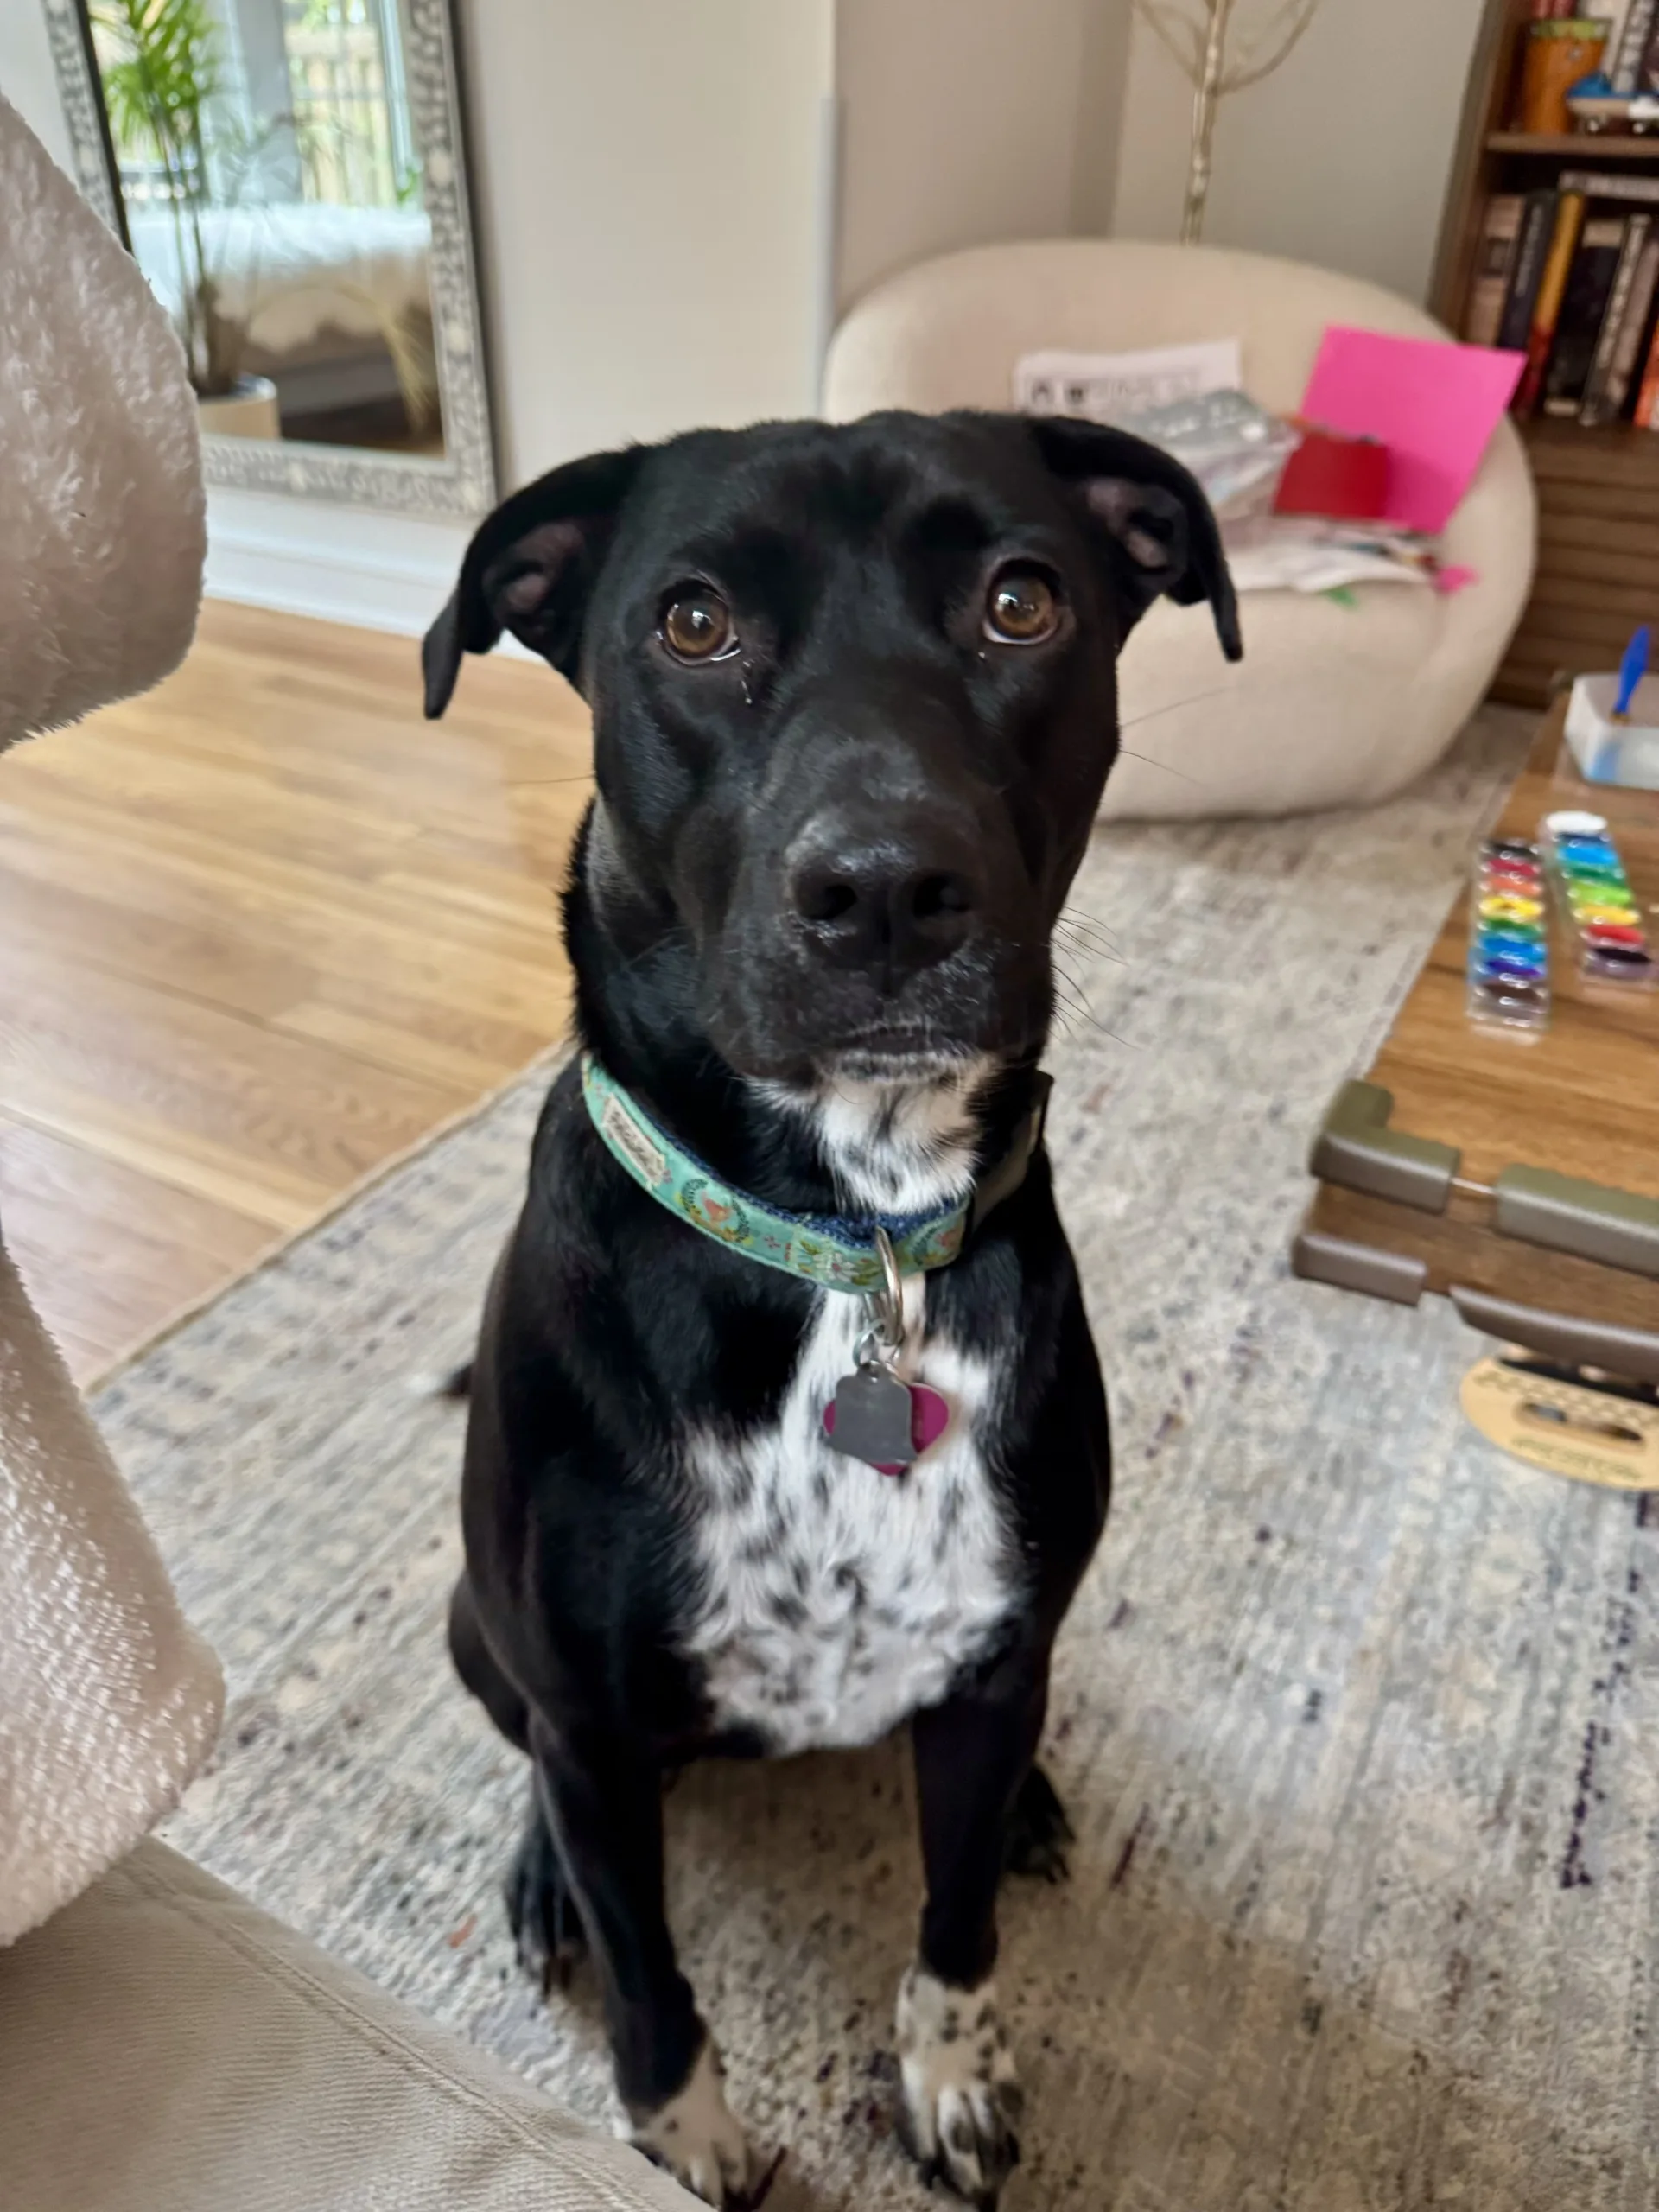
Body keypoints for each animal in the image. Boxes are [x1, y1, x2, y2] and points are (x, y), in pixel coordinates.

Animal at [422, 408, 1239, 2208]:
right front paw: (685, 2134)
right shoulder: (593, 1727)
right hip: (480, 1638)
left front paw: (950, 2073)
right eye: (692, 622)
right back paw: (537, 1883)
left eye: (1022, 600)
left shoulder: (995, 1666)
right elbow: (652, 1970)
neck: (844, 1246)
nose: (883, 889)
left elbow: (954, 1919)